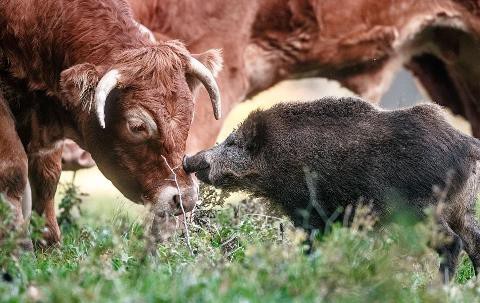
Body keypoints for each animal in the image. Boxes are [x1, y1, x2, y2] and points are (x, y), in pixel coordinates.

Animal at [0, 0, 221, 246]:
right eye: (136, 126)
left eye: (189, 115)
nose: (185, 199)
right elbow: (13, 169)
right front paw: (16, 246)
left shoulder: (44, 112)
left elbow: (46, 176)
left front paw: (49, 244)